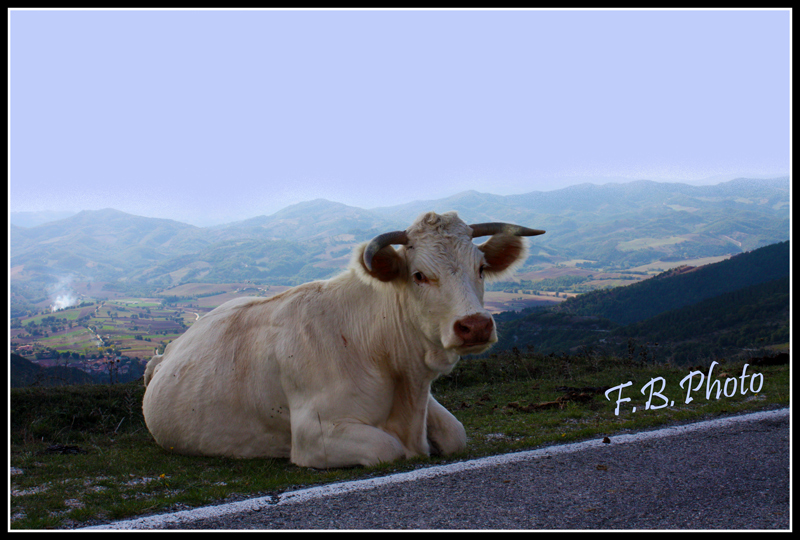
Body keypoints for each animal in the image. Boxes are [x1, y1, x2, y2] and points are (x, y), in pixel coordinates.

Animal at [142, 211, 544, 468]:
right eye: (419, 275)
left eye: (481, 268)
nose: (475, 325)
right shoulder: (313, 434)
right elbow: (388, 448)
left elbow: (455, 433)